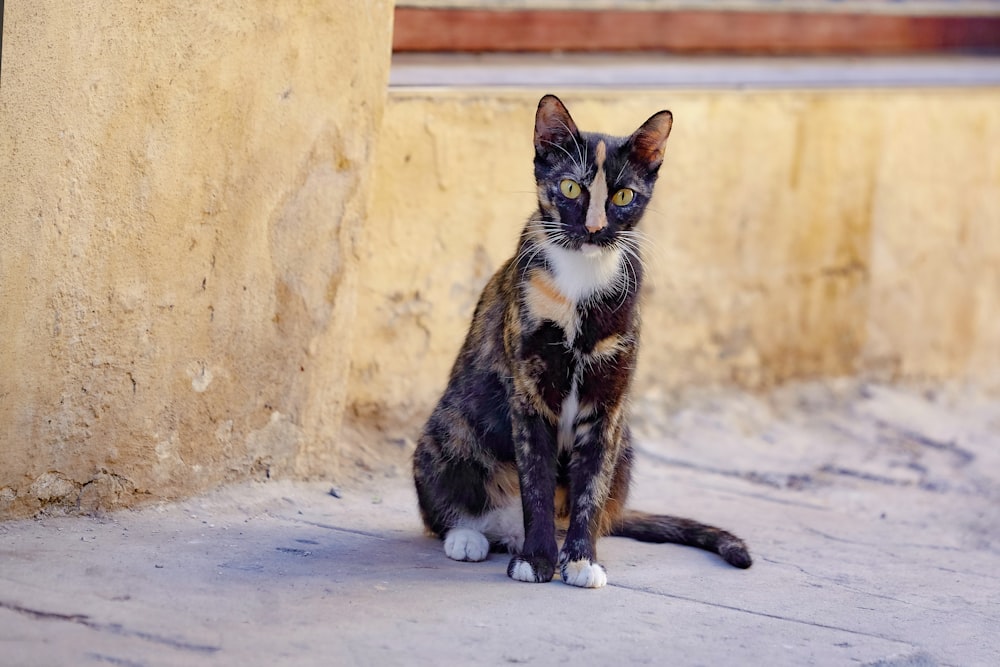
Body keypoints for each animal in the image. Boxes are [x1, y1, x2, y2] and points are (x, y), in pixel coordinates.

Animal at [408, 95, 752, 588]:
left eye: (623, 196)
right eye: (571, 188)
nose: (593, 228)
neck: (581, 280)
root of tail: (505, 530)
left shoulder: (609, 402)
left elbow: (591, 486)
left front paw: (580, 560)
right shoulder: (530, 392)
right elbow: (535, 482)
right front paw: (537, 560)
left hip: (625, 444)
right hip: (450, 425)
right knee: (445, 507)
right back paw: (469, 537)